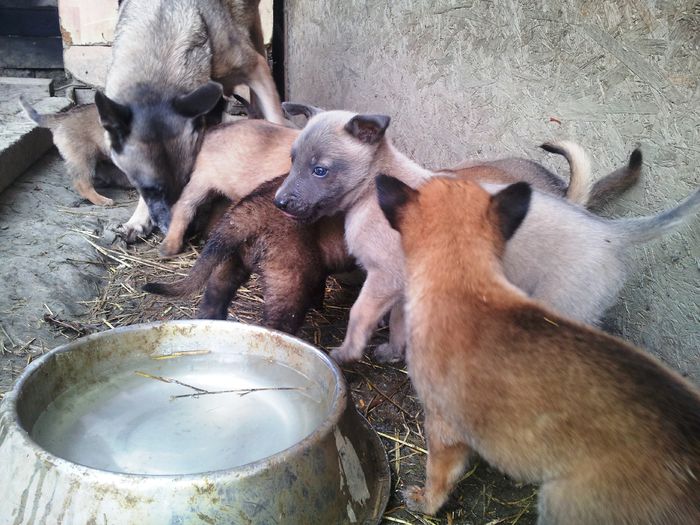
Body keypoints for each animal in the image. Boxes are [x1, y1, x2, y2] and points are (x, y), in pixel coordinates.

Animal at [94, 0, 284, 242]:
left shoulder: (255, 69)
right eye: (149, 189)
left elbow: (277, 118)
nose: (182, 231)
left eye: (186, 181)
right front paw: (139, 219)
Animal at [274, 104, 700, 362]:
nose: (279, 202)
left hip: (562, 306)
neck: (370, 193)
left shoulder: (384, 277)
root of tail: (608, 231)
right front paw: (393, 351)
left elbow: (360, 314)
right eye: (292, 160)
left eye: (320, 170)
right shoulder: (404, 284)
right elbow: (398, 322)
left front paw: (346, 352)